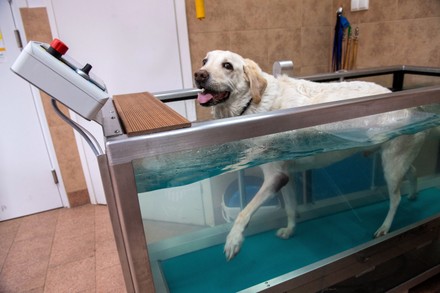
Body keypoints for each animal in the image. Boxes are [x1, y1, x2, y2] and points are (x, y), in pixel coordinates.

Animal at [194, 50, 428, 260]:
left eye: (227, 65)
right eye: (205, 61)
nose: (199, 75)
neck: (253, 104)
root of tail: (414, 107)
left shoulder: (274, 176)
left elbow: (244, 212)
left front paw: (233, 240)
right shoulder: (285, 177)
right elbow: (290, 207)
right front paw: (290, 230)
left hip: (391, 166)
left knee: (395, 199)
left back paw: (384, 227)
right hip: (395, 160)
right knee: (413, 171)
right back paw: (413, 194)